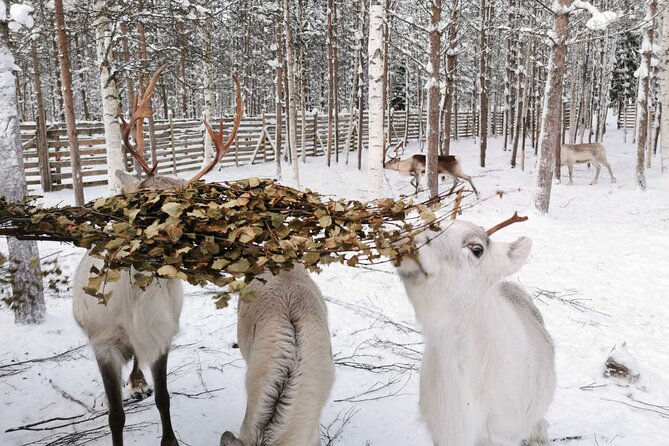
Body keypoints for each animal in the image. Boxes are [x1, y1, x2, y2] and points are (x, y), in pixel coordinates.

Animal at [72, 67, 243, 446]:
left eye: (187, 206)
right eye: (141, 199)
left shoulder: (163, 335)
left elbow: (164, 397)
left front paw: (170, 439)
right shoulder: (103, 345)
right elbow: (115, 415)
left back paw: (138, 383)